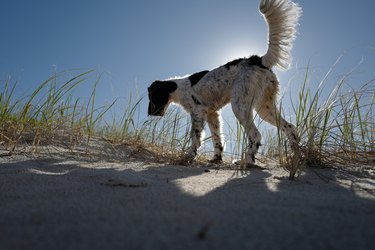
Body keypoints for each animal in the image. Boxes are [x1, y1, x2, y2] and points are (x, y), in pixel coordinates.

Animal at [147, 0, 302, 168]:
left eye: (152, 96)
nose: (150, 113)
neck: (180, 87)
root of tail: (258, 60)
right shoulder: (212, 115)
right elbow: (217, 139)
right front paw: (216, 158)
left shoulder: (198, 114)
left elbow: (196, 139)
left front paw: (188, 157)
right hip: (265, 108)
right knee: (290, 127)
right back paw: (295, 157)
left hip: (240, 106)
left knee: (256, 135)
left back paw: (247, 161)